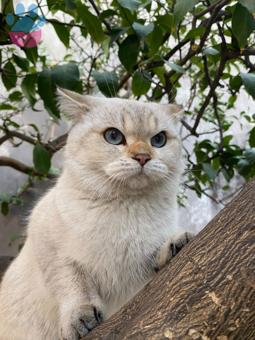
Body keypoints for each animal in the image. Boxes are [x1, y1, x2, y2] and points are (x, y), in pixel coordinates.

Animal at [0, 89, 192, 338]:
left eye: (159, 140)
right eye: (113, 136)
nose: (143, 157)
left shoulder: (139, 287)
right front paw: (80, 318)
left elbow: (157, 257)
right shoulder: (52, 252)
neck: (126, 210)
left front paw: (175, 245)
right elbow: (74, 286)